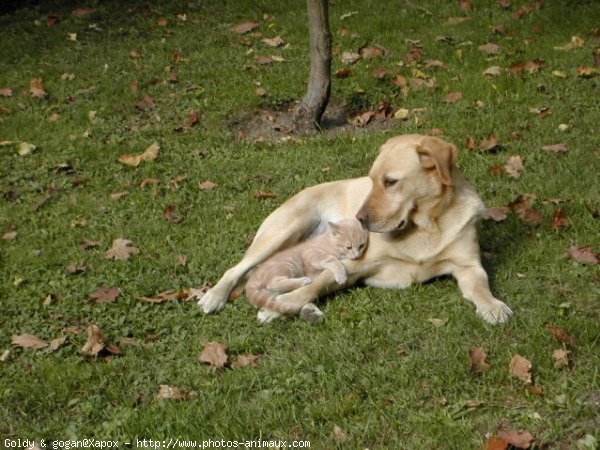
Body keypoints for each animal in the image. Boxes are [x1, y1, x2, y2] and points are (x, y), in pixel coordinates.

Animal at [199, 133, 512, 324]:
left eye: (391, 182)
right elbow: (315, 285)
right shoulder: (353, 266)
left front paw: (493, 306)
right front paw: (278, 307)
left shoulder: (469, 267)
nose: (359, 219)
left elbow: (481, 287)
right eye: (371, 180)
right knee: (238, 269)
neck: (425, 227)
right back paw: (214, 296)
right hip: (282, 232)